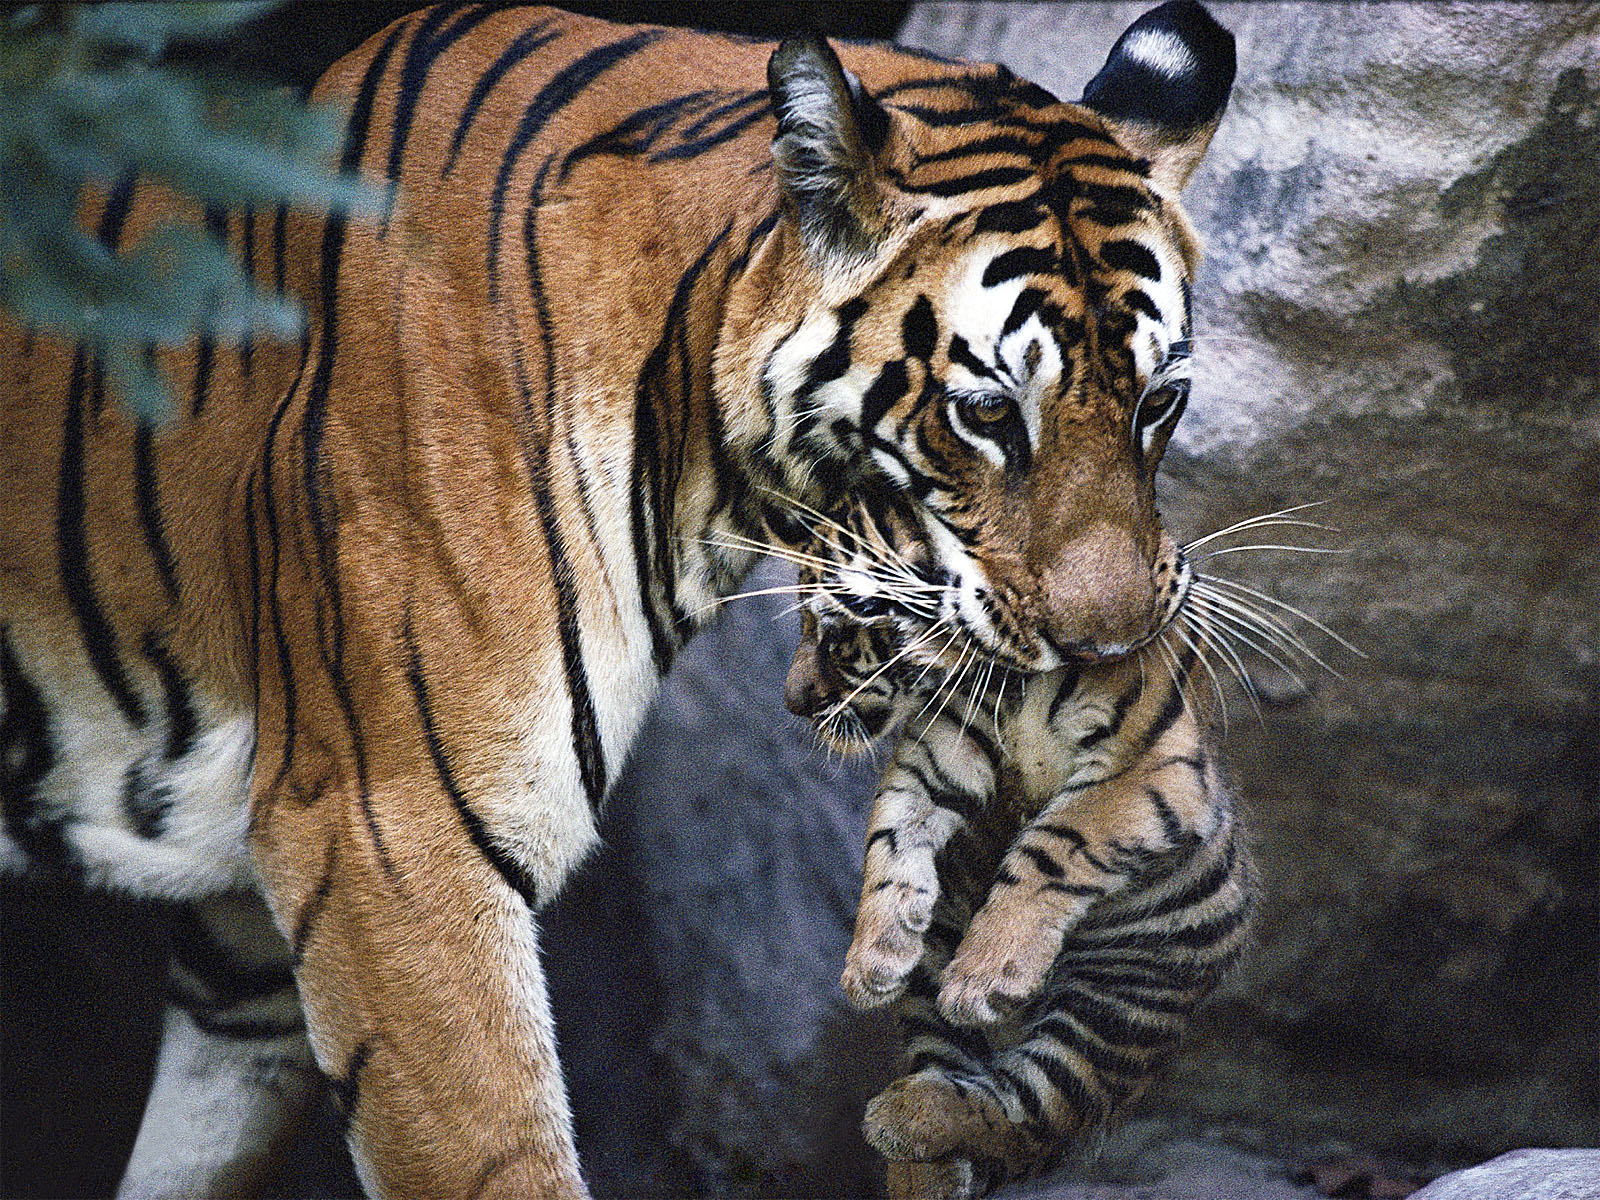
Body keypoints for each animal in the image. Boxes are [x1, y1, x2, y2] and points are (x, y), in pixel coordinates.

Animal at [778, 497, 1253, 1199]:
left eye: (838, 637)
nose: (793, 703)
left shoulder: (1147, 768)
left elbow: (1054, 844)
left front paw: (984, 974)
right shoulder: (937, 753)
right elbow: (890, 837)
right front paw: (872, 961)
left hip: (1116, 1006)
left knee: (1024, 1112)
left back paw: (904, 1112)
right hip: (931, 1004)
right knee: (953, 1070)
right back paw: (916, 1162)